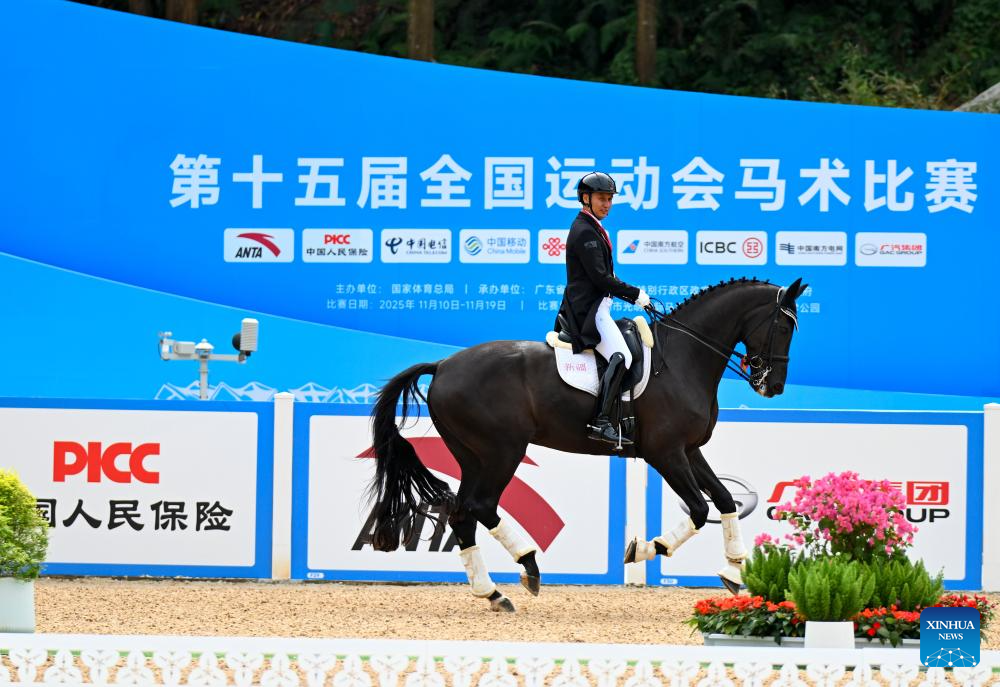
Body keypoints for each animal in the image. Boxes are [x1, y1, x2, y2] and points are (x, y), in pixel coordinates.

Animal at [366, 277, 806, 612]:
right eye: (784, 328)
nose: (773, 386)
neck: (684, 358)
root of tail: (442, 366)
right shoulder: (665, 453)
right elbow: (699, 509)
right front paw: (641, 550)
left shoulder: (689, 450)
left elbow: (725, 500)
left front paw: (732, 571)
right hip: (501, 451)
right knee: (481, 506)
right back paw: (528, 566)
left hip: (472, 455)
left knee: (463, 514)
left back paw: (492, 593)